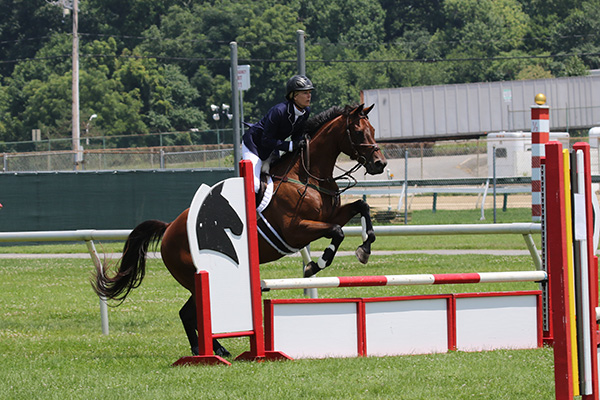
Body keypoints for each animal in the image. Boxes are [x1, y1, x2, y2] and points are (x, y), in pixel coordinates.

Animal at [91, 103, 386, 356]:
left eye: (373, 130)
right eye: (358, 131)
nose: (380, 164)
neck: (307, 175)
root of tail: (170, 228)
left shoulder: (330, 214)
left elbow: (361, 207)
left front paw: (365, 247)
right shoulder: (294, 230)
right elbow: (336, 231)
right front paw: (314, 265)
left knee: (190, 313)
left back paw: (214, 349)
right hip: (198, 277)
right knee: (195, 313)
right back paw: (206, 351)